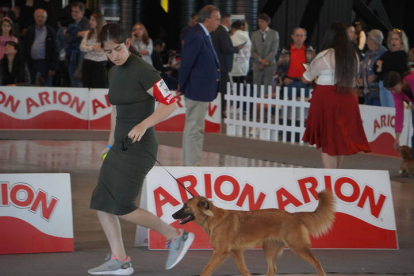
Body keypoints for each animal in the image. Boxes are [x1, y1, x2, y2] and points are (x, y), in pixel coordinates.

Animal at [173, 190, 334, 276]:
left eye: (186, 206)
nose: (173, 215)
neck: (213, 218)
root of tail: (293, 215)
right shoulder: (236, 252)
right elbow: (243, 269)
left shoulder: (220, 253)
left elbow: (205, 271)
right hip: (269, 249)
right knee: (272, 269)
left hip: (297, 247)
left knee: (316, 261)